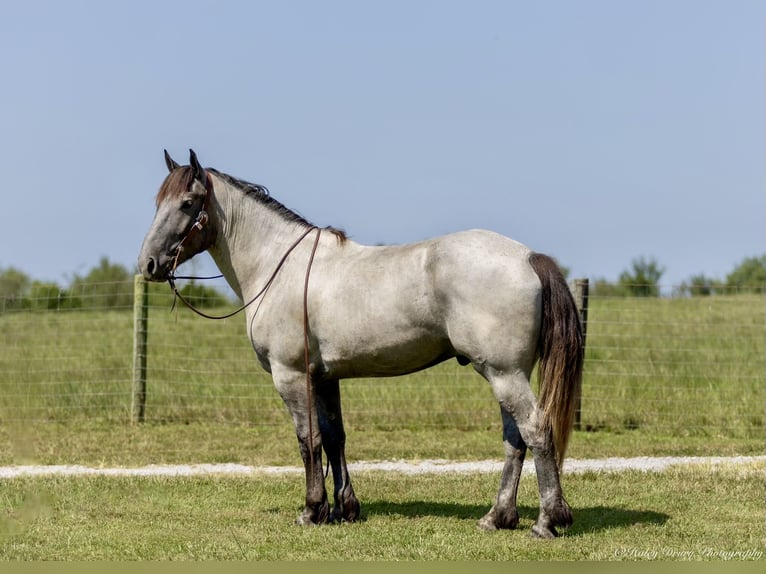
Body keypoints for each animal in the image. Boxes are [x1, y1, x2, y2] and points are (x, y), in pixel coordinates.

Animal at [138, 148, 584, 540]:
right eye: (158, 202)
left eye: (188, 203)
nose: (149, 264)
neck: (279, 267)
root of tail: (528, 257)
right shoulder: (324, 378)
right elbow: (335, 436)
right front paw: (344, 509)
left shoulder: (291, 376)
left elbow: (309, 440)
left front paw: (312, 509)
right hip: (505, 373)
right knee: (515, 439)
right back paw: (497, 517)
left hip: (504, 374)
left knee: (536, 431)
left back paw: (547, 521)